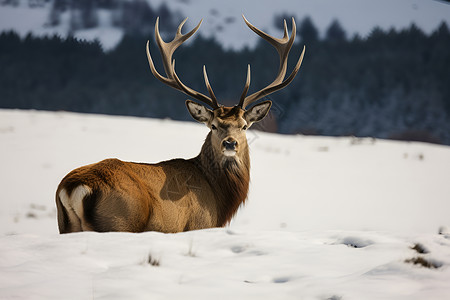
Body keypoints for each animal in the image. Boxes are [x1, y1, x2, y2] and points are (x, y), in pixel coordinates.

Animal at [54, 15, 304, 233]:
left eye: (243, 125)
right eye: (214, 125)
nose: (230, 143)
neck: (218, 197)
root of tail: (73, 188)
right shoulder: (198, 224)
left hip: (67, 226)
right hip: (119, 220)